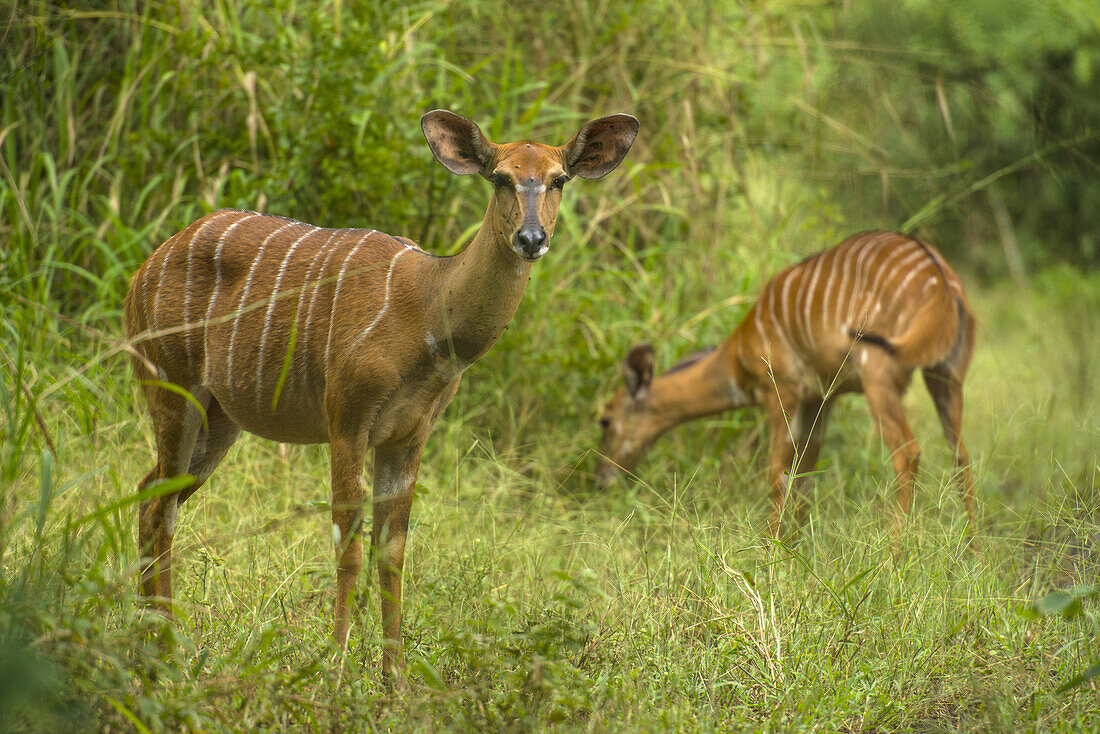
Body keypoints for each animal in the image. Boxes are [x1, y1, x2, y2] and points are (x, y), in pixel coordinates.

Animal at [122, 110, 638, 682]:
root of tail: (143, 269)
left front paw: (394, 681)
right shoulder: (347, 420)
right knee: (160, 505)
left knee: (152, 494)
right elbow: (348, 545)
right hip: (170, 387)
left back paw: (153, 644)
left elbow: (392, 551)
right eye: (501, 177)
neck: (430, 310)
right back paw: (163, 650)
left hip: (221, 418)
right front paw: (336, 669)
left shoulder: (408, 436)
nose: (531, 237)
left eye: (558, 179)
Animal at [598, 231, 976, 534]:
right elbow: (805, 476)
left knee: (907, 453)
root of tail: (941, 280)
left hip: (879, 375)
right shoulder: (821, 397)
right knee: (961, 457)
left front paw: (772, 552)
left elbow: (778, 474)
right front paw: (793, 548)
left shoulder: (782, 390)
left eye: (605, 420)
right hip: (946, 376)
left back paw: (894, 556)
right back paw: (970, 553)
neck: (736, 354)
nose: (601, 480)